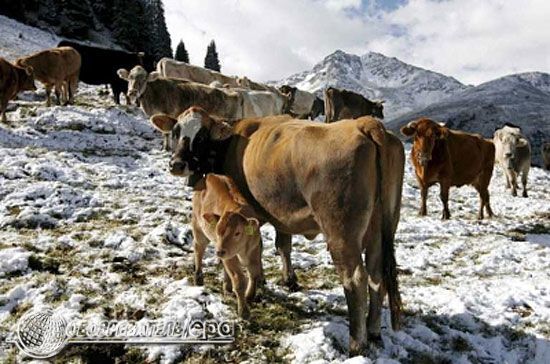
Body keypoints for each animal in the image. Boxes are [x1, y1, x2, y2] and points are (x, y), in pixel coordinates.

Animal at [192, 173, 264, 318]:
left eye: (237, 233)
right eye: (217, 231)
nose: (219, 251)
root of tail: (208, 176)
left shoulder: (254, 249)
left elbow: (254, 272)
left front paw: (249, 296)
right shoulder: (230, 256)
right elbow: (239, 280)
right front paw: (243, 311)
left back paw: (227, 286)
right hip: (198, 228)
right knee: (198, 250)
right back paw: (198, 278)